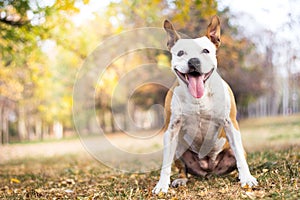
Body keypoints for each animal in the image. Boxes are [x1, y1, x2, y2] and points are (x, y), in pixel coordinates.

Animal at [152, 15, 258, 194]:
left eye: (206, 51)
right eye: (181, 53)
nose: (194, 61)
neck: (198, 98)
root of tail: (209, 170)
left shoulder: (230, 122)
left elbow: (240, 157)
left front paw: (247, 179)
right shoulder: (171, 128)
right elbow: (165, 163)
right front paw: (161, 185)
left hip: (234, 149)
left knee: (238, 156)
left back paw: (239, 175)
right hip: (179, 149)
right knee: (183, 169)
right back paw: (181, 179)